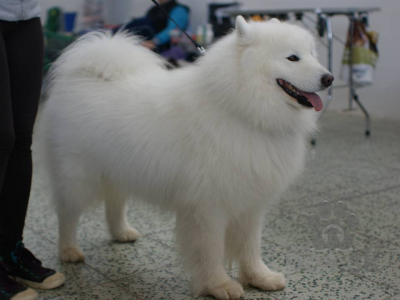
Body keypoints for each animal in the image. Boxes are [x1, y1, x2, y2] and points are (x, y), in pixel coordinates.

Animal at [41, 17, 334, 300]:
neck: (242, 109)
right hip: (76, 177)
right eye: (292, 58)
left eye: (312, 54)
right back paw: (69, 251)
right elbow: (211, 250)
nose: (329, 78)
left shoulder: (250, 202)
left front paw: (259, 278)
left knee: (114, 203)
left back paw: (121, 232)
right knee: (66, 216)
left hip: (119, 168)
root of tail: (84, 75)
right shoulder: (208, 207)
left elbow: (251, 246)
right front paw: (218, 285)